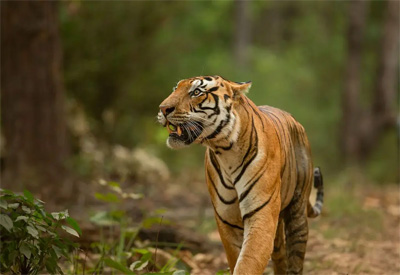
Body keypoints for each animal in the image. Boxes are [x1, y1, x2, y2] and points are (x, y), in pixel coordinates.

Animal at [158, 76, 324, 275]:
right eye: (175, 89)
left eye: (196, 92)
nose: (163, 108)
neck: (225, 149)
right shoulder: (227, 218)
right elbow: (237, 258)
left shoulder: (261, 213)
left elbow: (248, 262)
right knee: (280, 255)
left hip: (297, 213)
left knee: (295, 255)